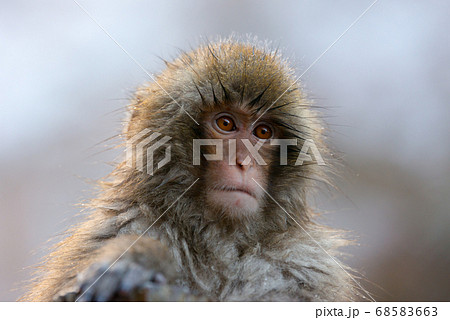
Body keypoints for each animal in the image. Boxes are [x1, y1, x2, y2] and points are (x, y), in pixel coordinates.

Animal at [22, 38, 366, 302]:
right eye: (225, 123)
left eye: (263, 132)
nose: (244, 162)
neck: (221, 239)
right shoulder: (113, 229)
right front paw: (139, 260)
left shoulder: (306, 267)